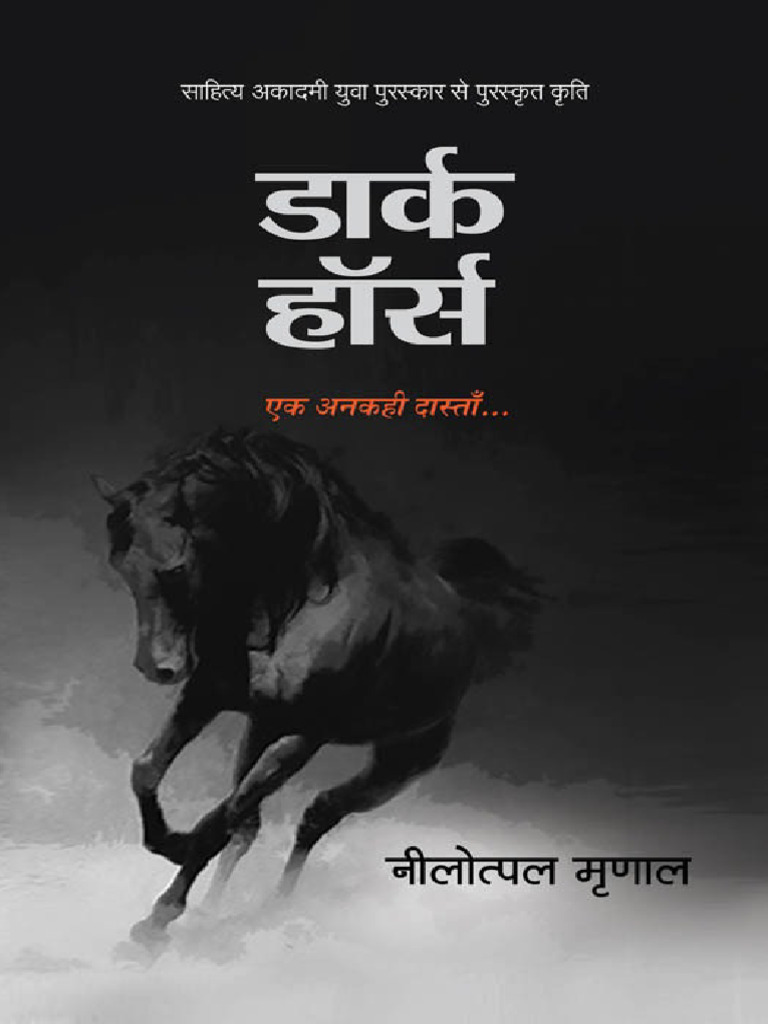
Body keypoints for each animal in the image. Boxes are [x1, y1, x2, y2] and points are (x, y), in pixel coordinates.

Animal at [93, 429, 543, 950]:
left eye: (177, 567)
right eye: (121, 564)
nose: (156, 667)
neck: (292, 604)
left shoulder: (302, 735)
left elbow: (219, 821)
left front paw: (156, 920)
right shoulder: (208, 695)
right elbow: (148, 771)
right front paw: (167, 846)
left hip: (395, 766)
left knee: (315, 816)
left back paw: (273, 910)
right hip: (260, 731)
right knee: (256, 825)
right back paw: (215, 913)